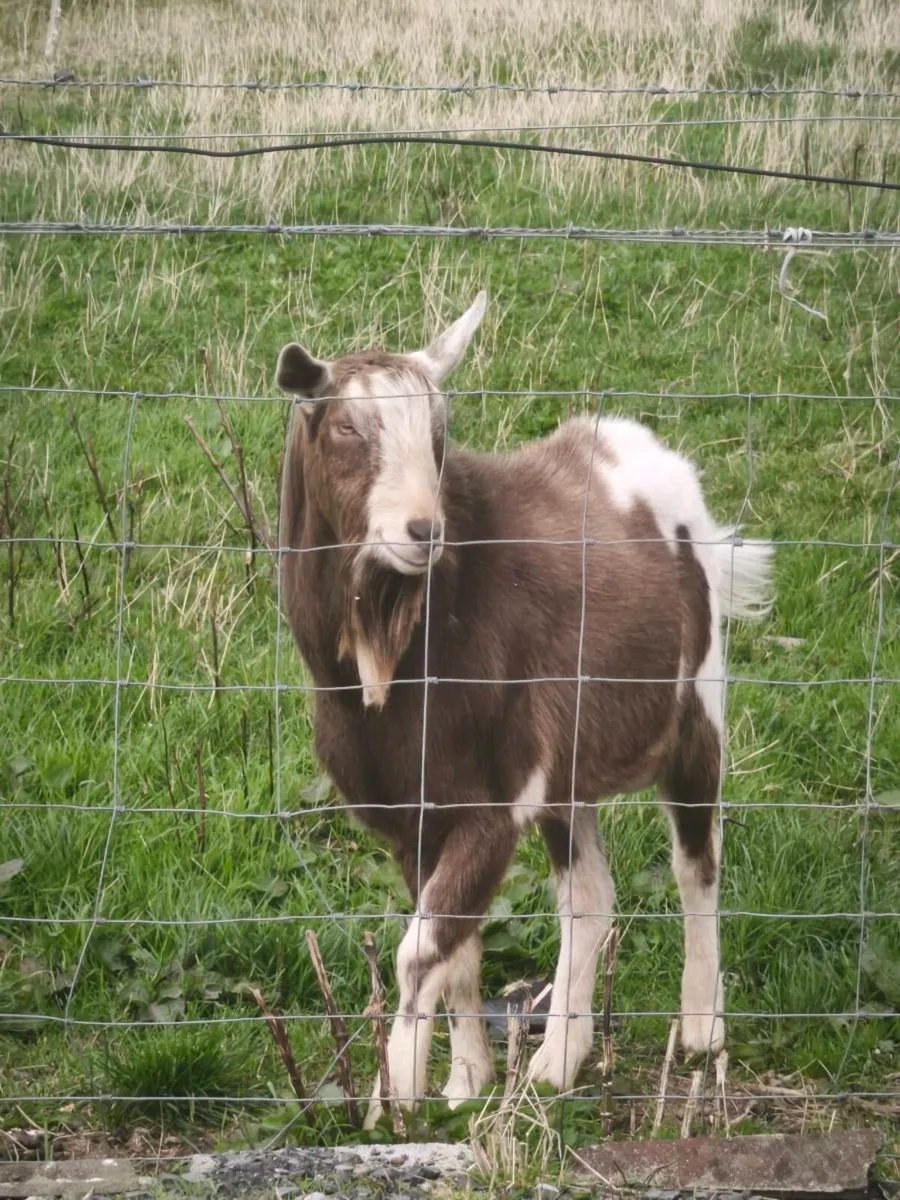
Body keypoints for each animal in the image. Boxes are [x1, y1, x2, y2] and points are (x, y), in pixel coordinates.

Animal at [275, 292, 773, 1128]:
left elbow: (420, 952)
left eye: (439, 431)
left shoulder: (491, 803)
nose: (423, 531)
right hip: (569, 771)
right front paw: (465, 1081)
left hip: (697, 705)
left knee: (697, 860)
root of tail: (633, 446)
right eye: (346, 427)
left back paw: (702, 1030)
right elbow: (458, 950)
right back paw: (554, 1063)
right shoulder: (414, 816)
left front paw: (393, 1101)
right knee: (589, 898)